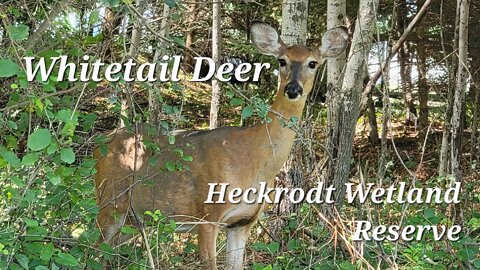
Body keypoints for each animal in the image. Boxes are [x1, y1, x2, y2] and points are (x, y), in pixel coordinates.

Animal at [94, 22, 346, 268]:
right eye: (282, 60)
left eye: (312, 63)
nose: (293, 89)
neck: (254, 162)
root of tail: (99, 144)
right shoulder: (208, 214)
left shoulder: (243, 222)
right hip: (110, 201)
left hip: (132, 219)